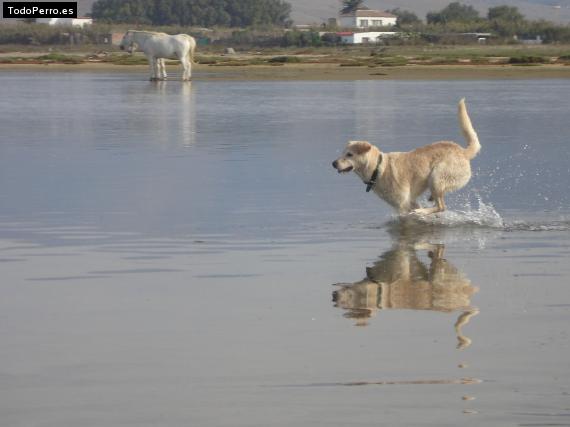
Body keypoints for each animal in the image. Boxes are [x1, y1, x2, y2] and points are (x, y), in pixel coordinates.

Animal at [330, 99, 478, 216]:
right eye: (342, 153)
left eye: (349, 154)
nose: (333, 163)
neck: (378, 169)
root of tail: (463, 152)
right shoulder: (409, 202)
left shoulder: (403, 205)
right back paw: (429, 200)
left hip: (437, 175)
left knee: (441, 206)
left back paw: (422, 211)